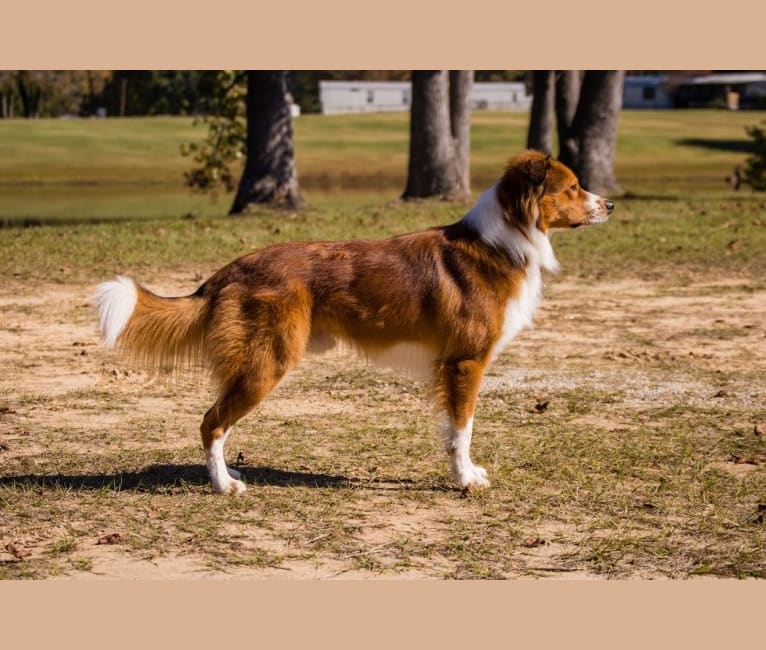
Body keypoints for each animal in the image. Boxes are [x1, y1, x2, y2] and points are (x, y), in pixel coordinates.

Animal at [93, 151, 616, 492]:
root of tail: (232, 268)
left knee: (220, 422)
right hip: (267, 362)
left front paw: (463, 473)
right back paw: (224, 485)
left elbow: (452, 431)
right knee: (211, 423)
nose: (610, 204)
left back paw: (227, 473)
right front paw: (465, 480)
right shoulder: (465, 363)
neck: (502, 241)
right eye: (572, 188)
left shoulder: (449, 366)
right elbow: (463, 430)